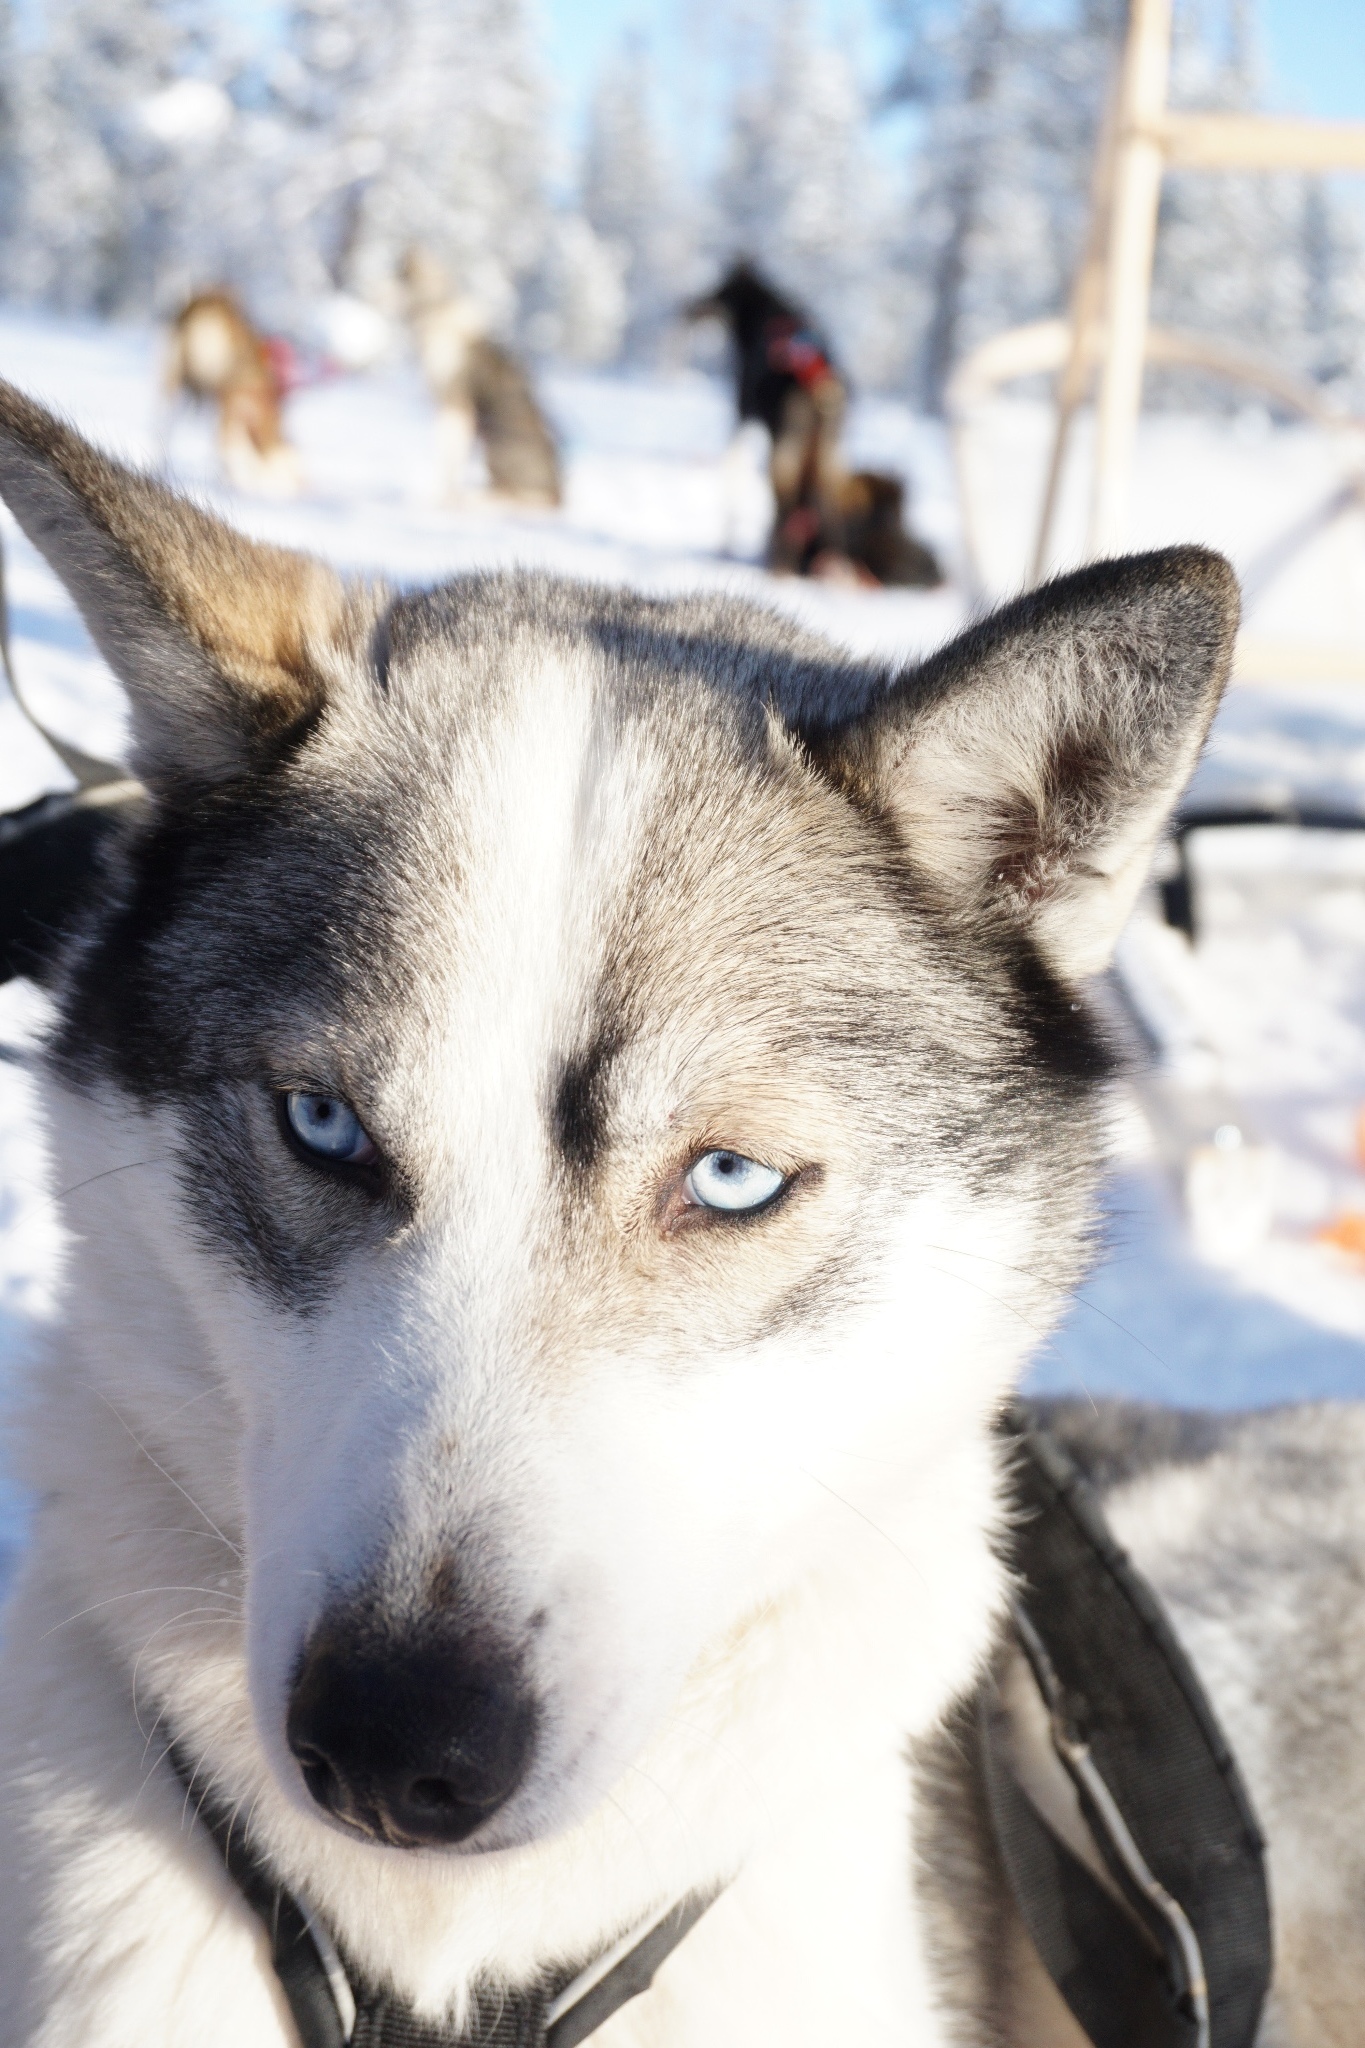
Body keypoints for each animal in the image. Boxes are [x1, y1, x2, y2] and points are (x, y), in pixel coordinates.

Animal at [687, 260, 945, 589]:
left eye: (718, 288)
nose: (690, 306)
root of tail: (819, 383)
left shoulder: (742, 414)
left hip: (786, 452)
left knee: (783, 509)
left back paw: (782, 566)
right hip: (830, 457)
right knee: (828, 513)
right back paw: (833, 567)